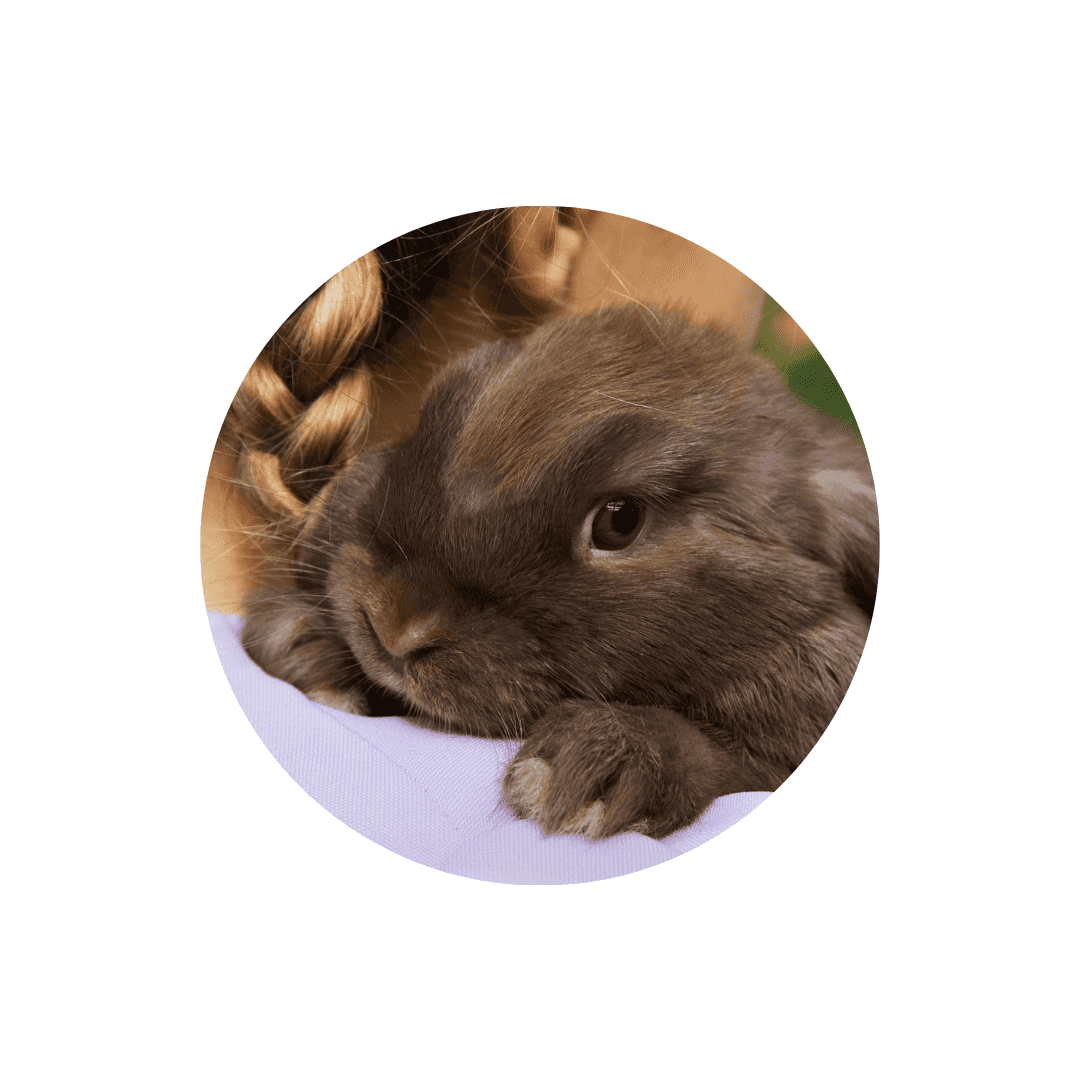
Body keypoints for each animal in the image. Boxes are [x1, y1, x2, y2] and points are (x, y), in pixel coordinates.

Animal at [243, 306, 878, 840]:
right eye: (432, 413)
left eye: (620, 521)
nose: (393, 626)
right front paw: (302, 643)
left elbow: (722, 756)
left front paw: (592, 767)